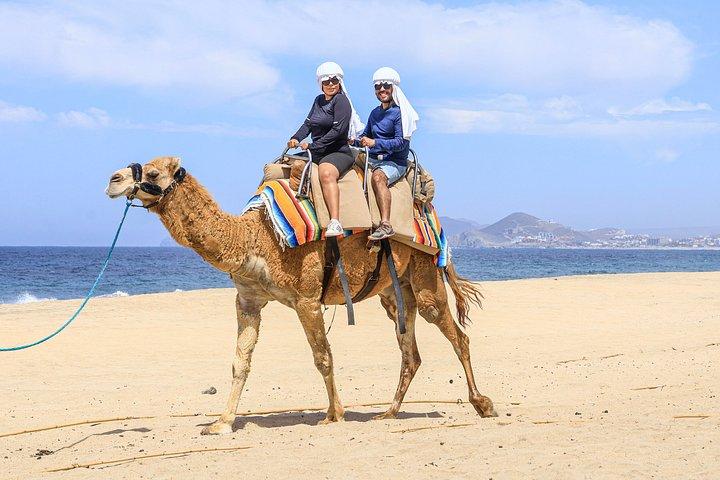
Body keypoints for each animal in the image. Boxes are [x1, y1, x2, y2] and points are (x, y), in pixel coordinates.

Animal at [105, 156, 497, 435]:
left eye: (153, 172)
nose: (113, 180)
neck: (256, 237)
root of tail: (428, 211)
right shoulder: (248, 299)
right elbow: (239, 362)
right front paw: (221, 423)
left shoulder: (306, 297)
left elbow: (323, 357)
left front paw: (334, 414)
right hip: (394, 289)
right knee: (410, 351)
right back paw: (388, 413)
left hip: (425, 271)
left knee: (457, 335)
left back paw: (482, 404)